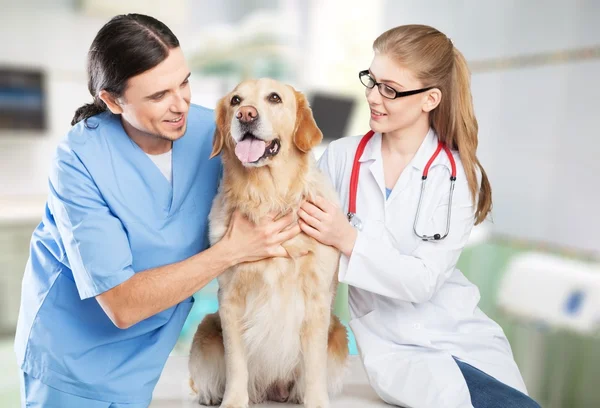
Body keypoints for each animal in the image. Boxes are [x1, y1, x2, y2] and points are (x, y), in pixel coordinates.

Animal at [186, 77, 346, 408]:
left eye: (274, 98)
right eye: (235, 100)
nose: (245, 115)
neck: (267, 196)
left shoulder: (317, 300)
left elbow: (314, 365)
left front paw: (316, 401)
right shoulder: (230, 299)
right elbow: (236, 363)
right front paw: (233, 401)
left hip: (338, 333)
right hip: (206, 328)